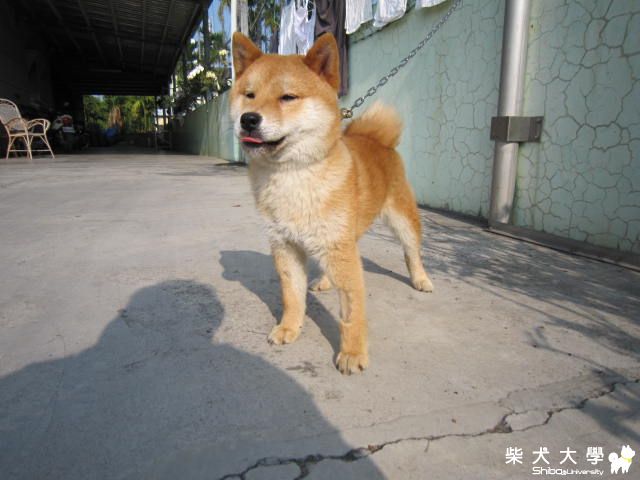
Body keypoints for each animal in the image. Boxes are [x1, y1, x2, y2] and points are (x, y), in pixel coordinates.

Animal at [230, 32, 433, 374]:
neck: (293, 175)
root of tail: (378, 140)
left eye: (288, 97)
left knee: (412, 252)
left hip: (400, 220)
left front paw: (352, 353)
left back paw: (420, 279)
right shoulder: (286, 245)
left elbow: (352, 311)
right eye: (249, 95)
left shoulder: (341, 250)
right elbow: (292, 296)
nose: (248, 119)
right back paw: (324, 281)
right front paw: (289, 327)